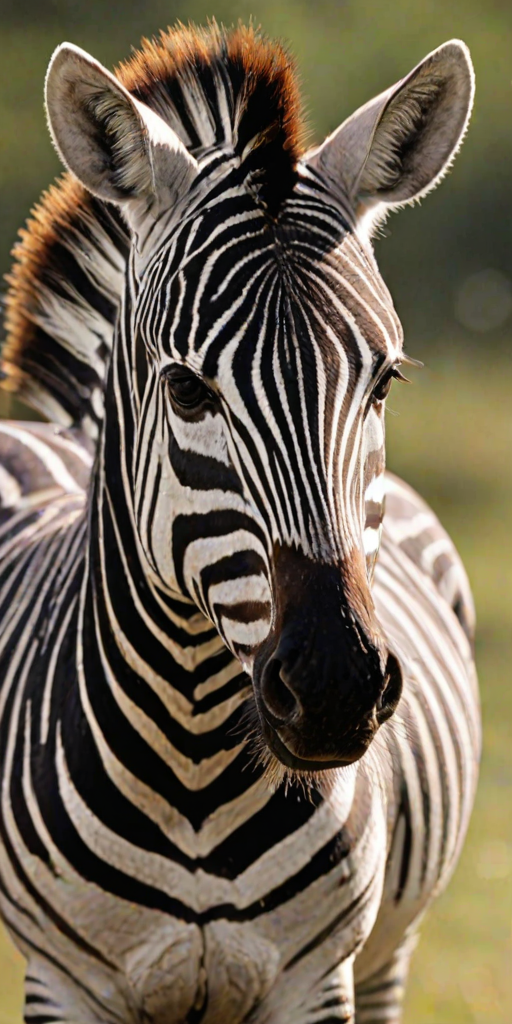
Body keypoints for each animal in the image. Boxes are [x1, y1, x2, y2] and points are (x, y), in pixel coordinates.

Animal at [0, 22, 480, 1024]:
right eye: (186, 388)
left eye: (385, 382)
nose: (337, 686)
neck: (190, 767)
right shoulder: (63, 981)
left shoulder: (319, 978)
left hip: (392, 952)